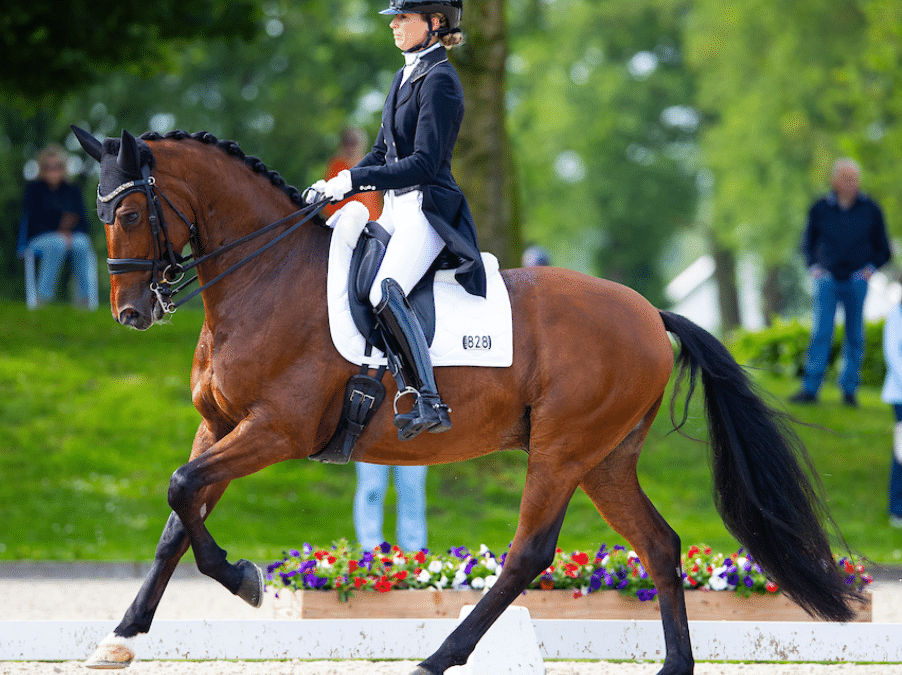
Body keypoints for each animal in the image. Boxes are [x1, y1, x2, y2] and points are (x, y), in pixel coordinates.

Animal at [72, 127, 862, 675]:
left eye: (131, 213)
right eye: (102, 213)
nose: (130, 314)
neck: (263, 278)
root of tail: (649, 313)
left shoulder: (276, 430)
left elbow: (182, 493)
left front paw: (245, 580)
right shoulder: (220, 426)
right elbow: (177, 518)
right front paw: (121, 636)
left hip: (562, 451)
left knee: (528, 553)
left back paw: (438, 656)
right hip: (605, 460)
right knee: (659, 545)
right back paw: (674, 665)